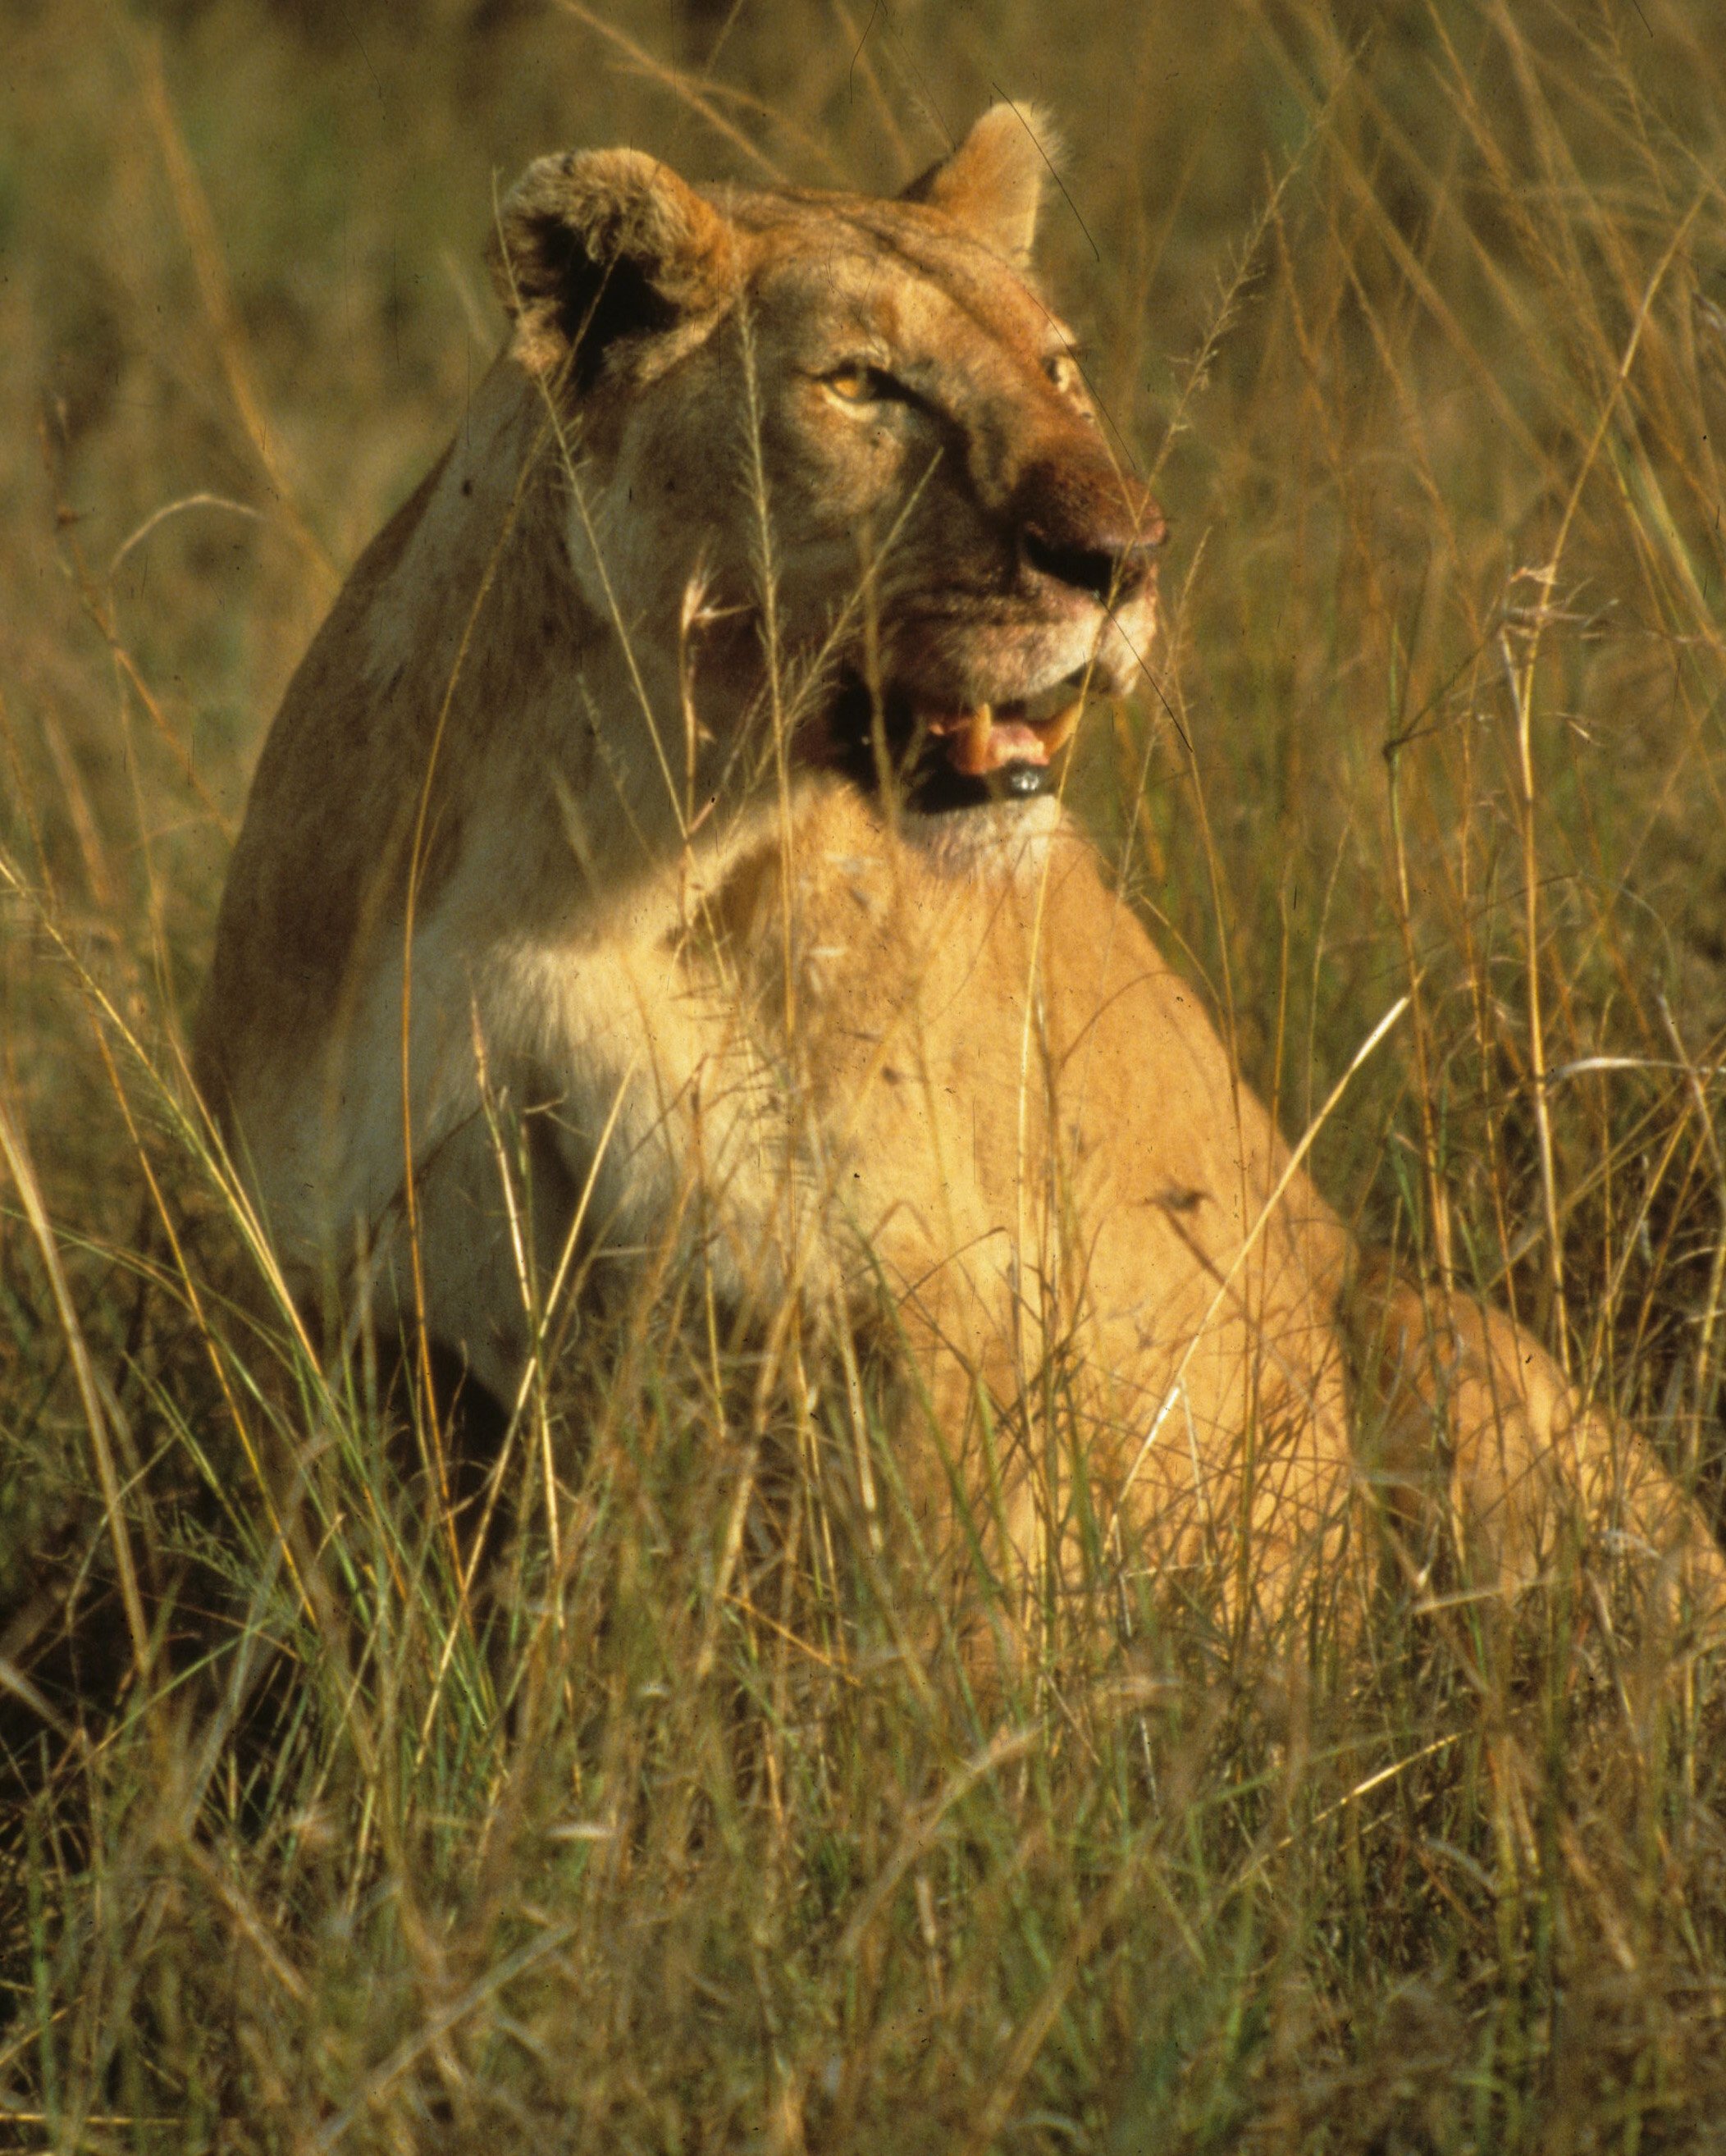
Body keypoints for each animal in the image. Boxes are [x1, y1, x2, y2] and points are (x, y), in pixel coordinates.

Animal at [195, 105, 1724, 1640]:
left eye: (1058, 368)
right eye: (862, 385)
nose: (1125, 557)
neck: (590, 846)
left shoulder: (932, 1316)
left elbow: (947, 1640)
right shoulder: (346, 1321)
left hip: (1427, 1330)